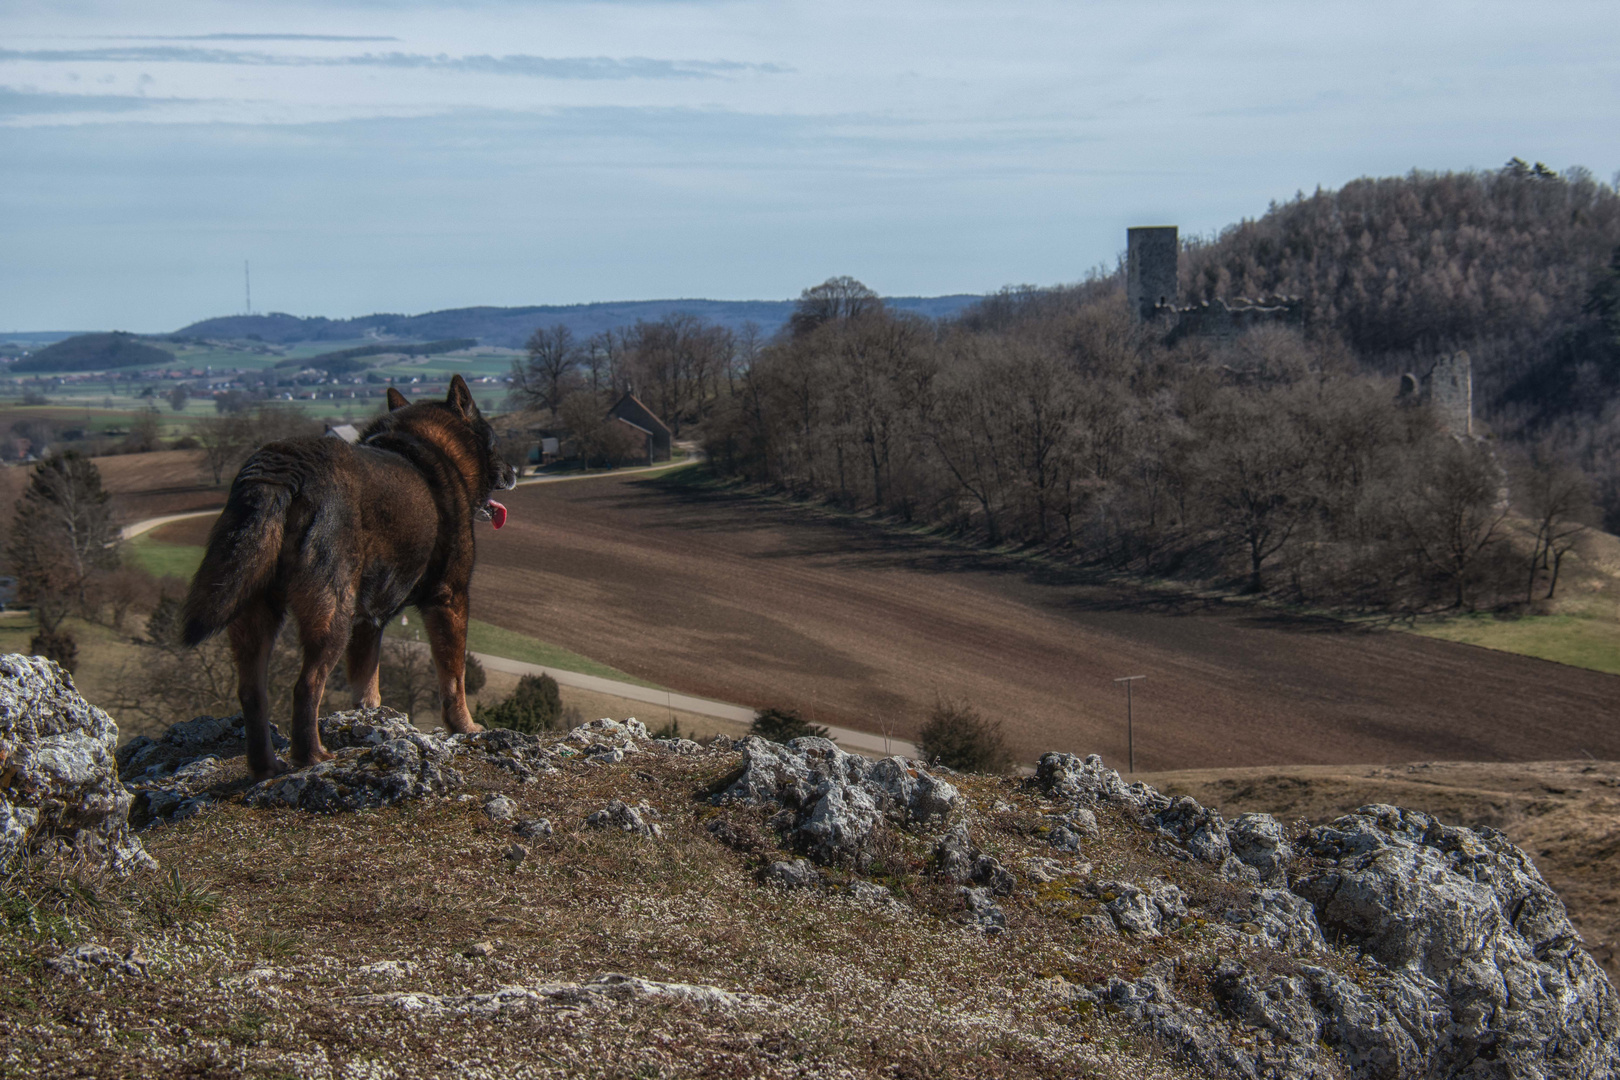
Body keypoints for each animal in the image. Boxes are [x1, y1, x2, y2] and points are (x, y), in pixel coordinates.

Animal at [180, 375, 515, 780]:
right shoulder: (449, 598)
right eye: (494, 442)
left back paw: (266, 766)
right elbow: (454, 678)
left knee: (252, 692)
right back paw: (312, 757)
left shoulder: (368, 621)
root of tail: (284, 469)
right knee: (306, 685)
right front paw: (465, 727)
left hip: (254, 609)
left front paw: (369, 721)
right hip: (331, 613)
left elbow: (366, 683)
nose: (514, 472)